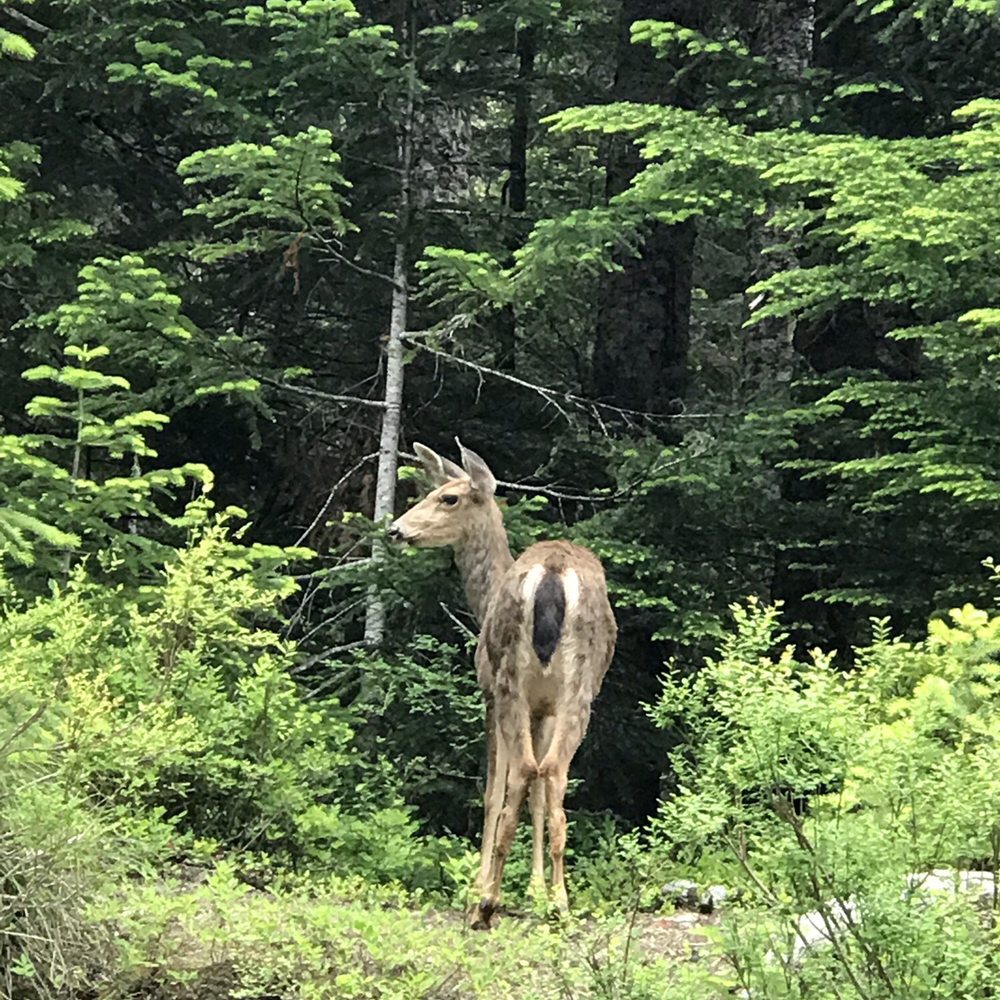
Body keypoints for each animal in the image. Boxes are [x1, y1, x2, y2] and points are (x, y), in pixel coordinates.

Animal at [387, 441, 617, 929]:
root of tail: (553, 570)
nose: (397, 530)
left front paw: (478, 889)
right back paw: (561, 902)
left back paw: (488, 904)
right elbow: (537, 794)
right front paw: (536, 890)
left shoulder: (489, 693)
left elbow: (495, 790)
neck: (485, 598)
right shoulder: (544, 708)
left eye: (448, 497)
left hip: (511, 677)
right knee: (553, 771)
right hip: (580, 687)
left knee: (527, 771)